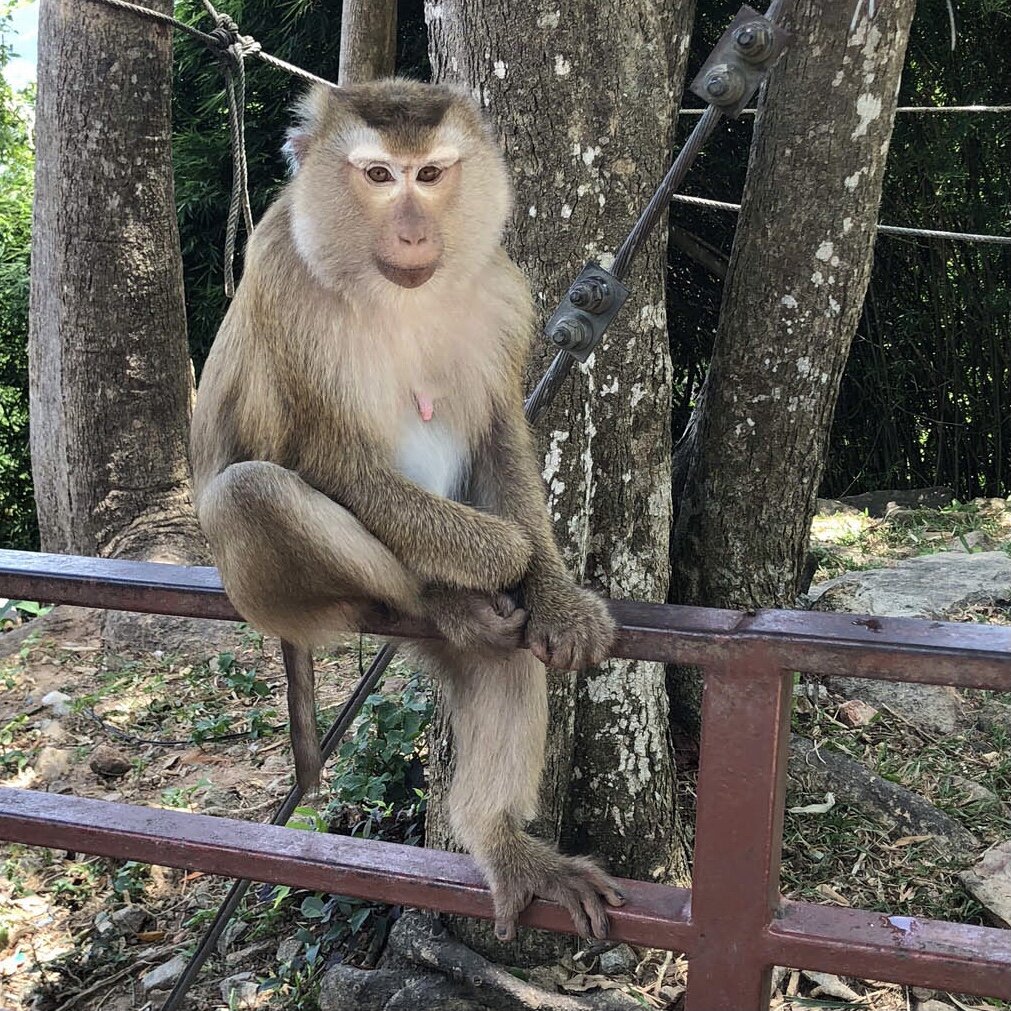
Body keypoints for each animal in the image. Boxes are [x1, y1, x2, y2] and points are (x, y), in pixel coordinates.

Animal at [186, 76, 618, 938]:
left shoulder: (500, 291)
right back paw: (442, 598)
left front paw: (555, 594)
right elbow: (323, 458)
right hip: (271, 591)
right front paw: (506, 553)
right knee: (252, 490)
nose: (416, 233)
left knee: (503, 659)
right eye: (380, 176)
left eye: (431, 175)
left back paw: (500, 837)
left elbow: (496, 435)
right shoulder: (281, 280)